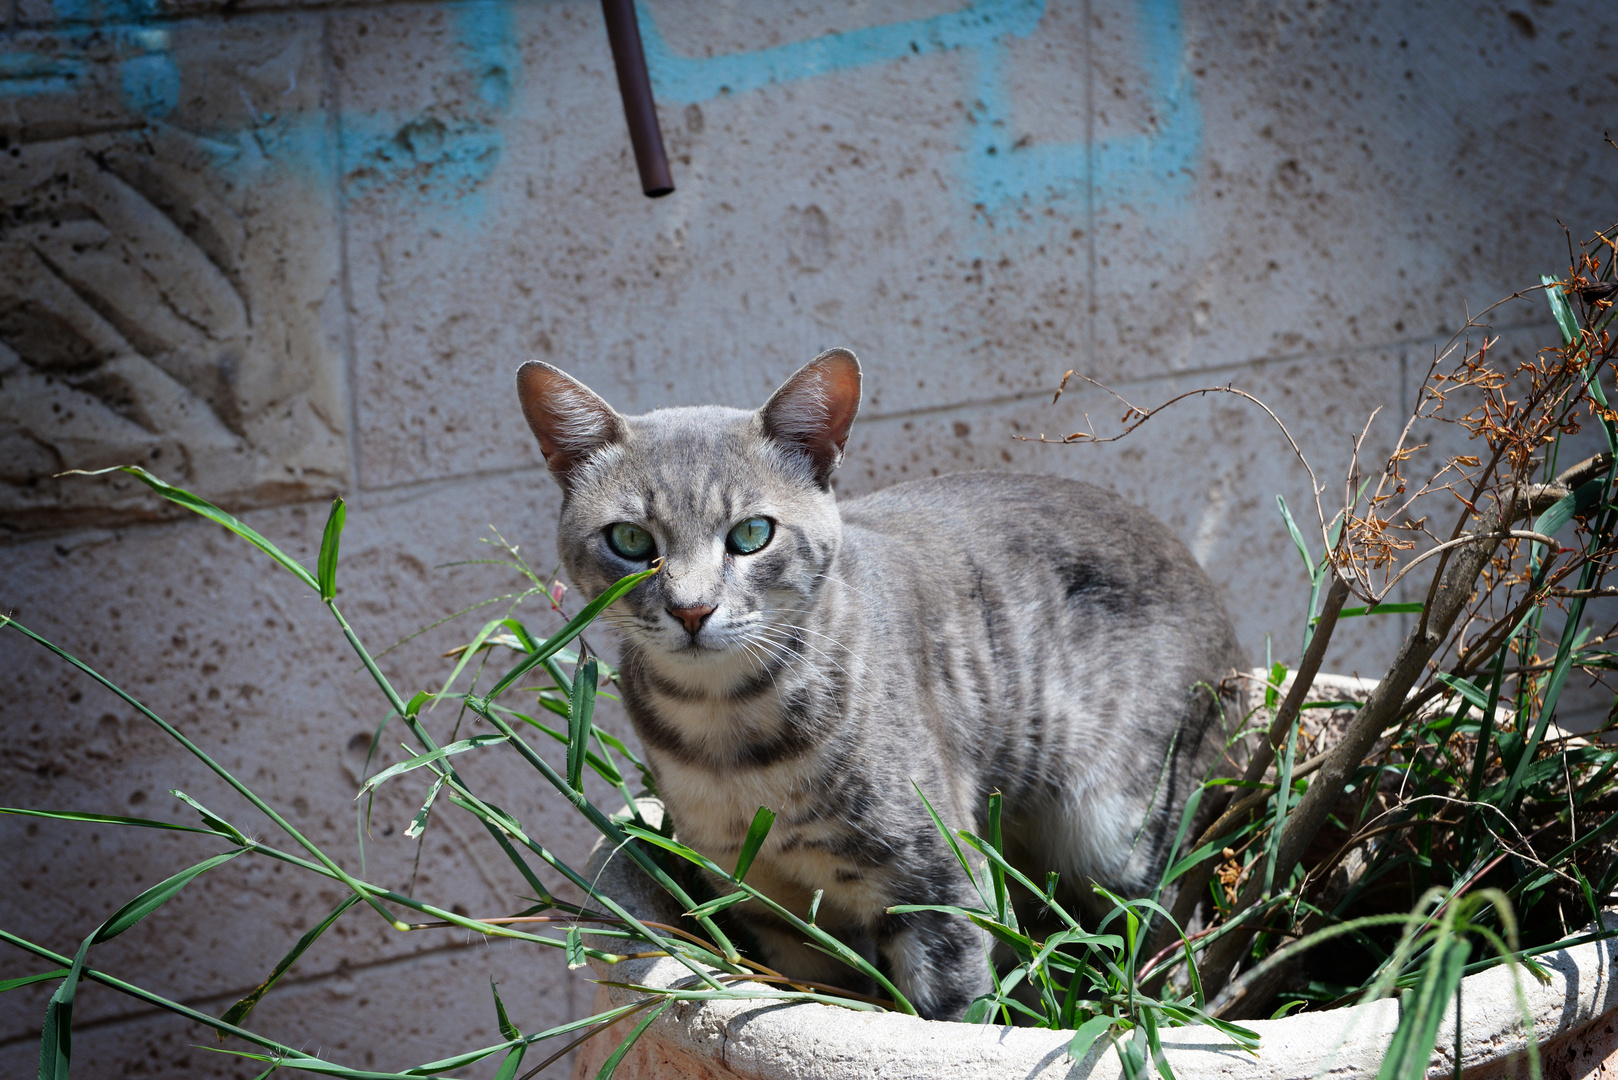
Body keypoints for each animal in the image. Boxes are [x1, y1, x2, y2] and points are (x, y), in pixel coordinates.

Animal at [514, 348, 1236, 1023]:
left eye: (751, 534)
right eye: (631, 540)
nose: (692, 610)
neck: (729, 737)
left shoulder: (937, 885)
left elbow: (955, 1014)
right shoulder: (768, 907)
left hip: (1126, 838)